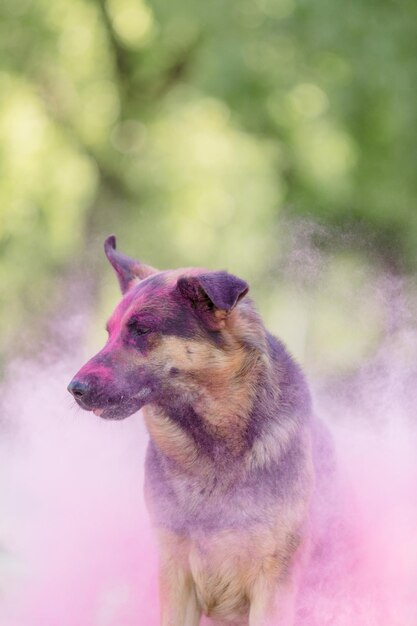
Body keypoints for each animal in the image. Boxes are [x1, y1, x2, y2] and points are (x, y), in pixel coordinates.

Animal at [68, 235, 324, 624]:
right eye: (109, 333)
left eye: (142, 330)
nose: (74, 389)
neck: (212, 447)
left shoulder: (273, 586)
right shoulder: (176, 578)